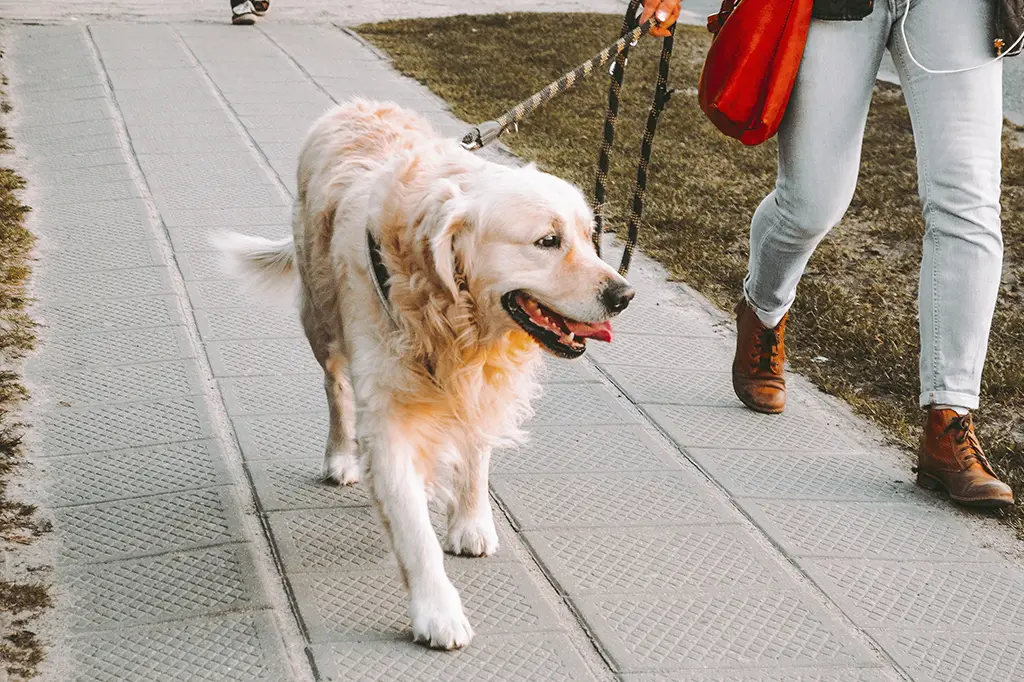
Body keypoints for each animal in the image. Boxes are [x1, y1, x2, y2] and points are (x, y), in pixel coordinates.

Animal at [216, 98, 630, 647]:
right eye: (547, 241)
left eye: (589, 237)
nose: (625, 295)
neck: (452, 316)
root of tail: (355, 104)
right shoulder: (389, 417)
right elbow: (414, 531)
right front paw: (437, 612)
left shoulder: (479, 387)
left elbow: (476, 454)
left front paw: (471, 522)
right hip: (321, 319)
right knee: (335, 387)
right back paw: (341, 456)